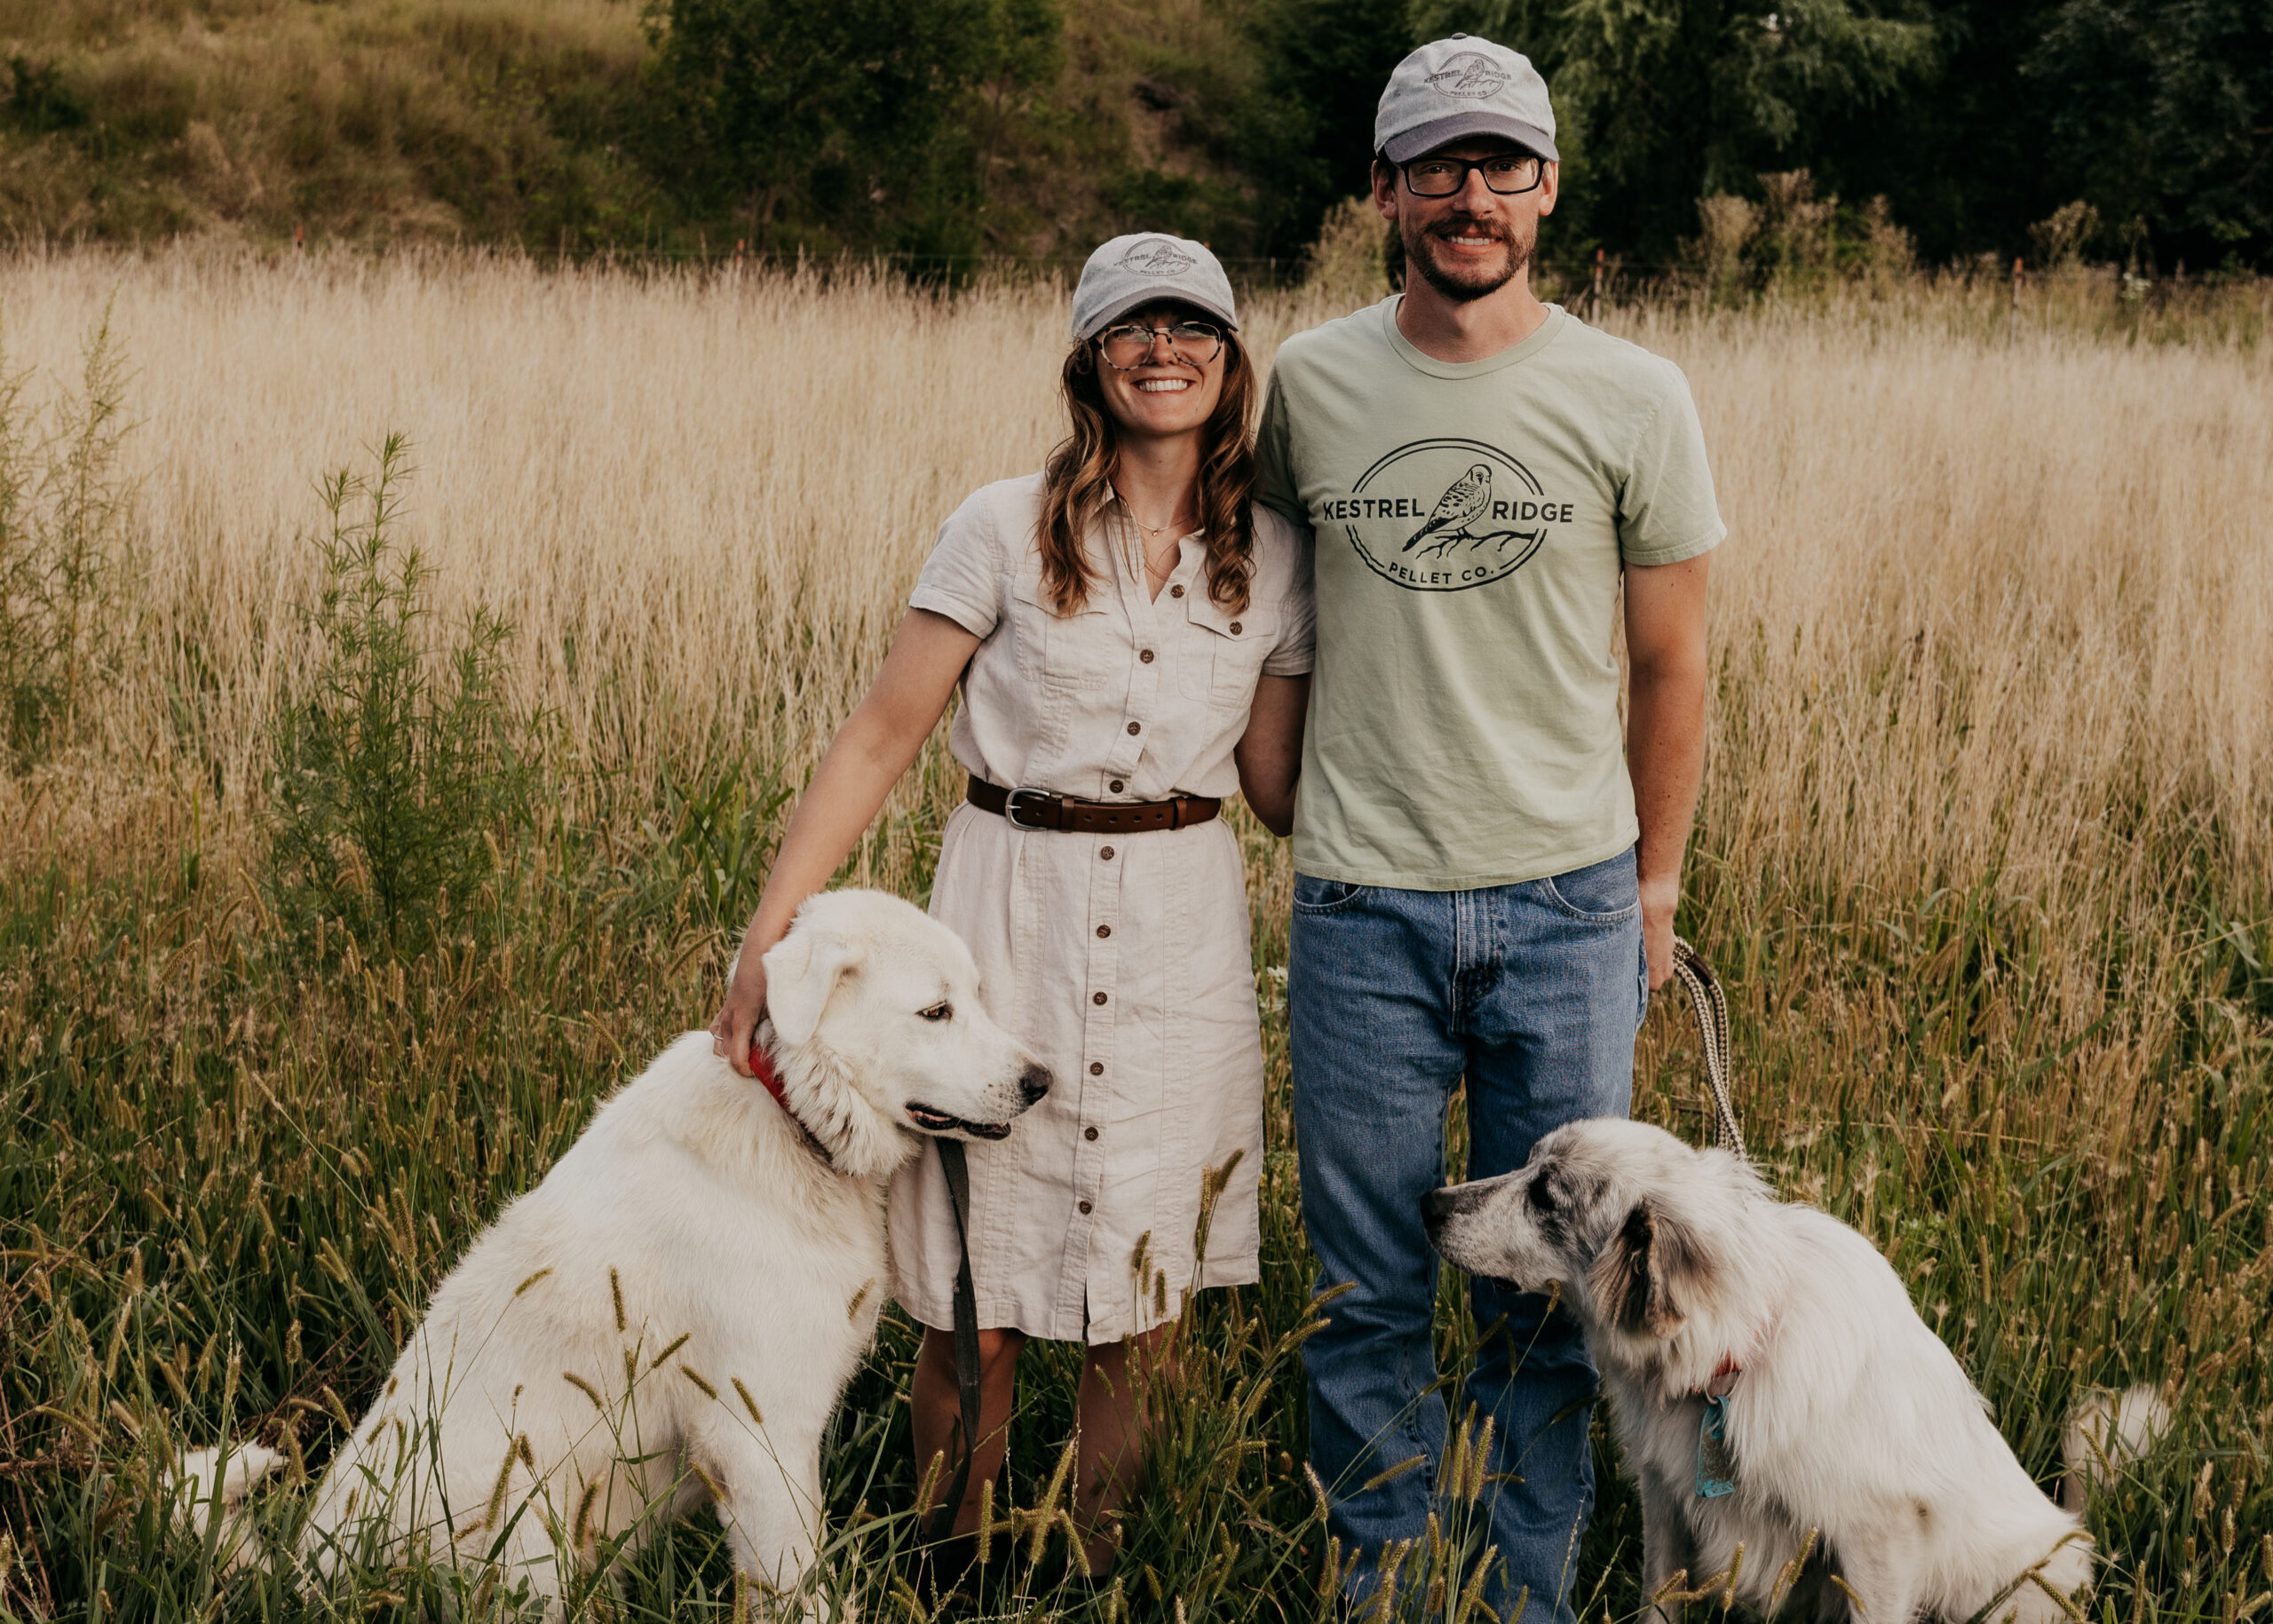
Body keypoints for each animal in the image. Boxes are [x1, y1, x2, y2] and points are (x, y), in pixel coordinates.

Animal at [177, 891, 1045, 1610]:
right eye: (935, 1011)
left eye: (974, 998)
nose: (1041, 1081)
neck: (790, 1114)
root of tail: (308, 1574)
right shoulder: (754, 1432)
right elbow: (799, 1586)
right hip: (530, 1534)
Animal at [1418, 1114, 2164, 1619]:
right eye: (1526, 1165)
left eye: (1546, 1197)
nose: (1429, 1204)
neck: (1730, 1364)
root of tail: (2074, 1530)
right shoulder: (1668, 1503)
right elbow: (1660, 1597)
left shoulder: (1877, 1539)